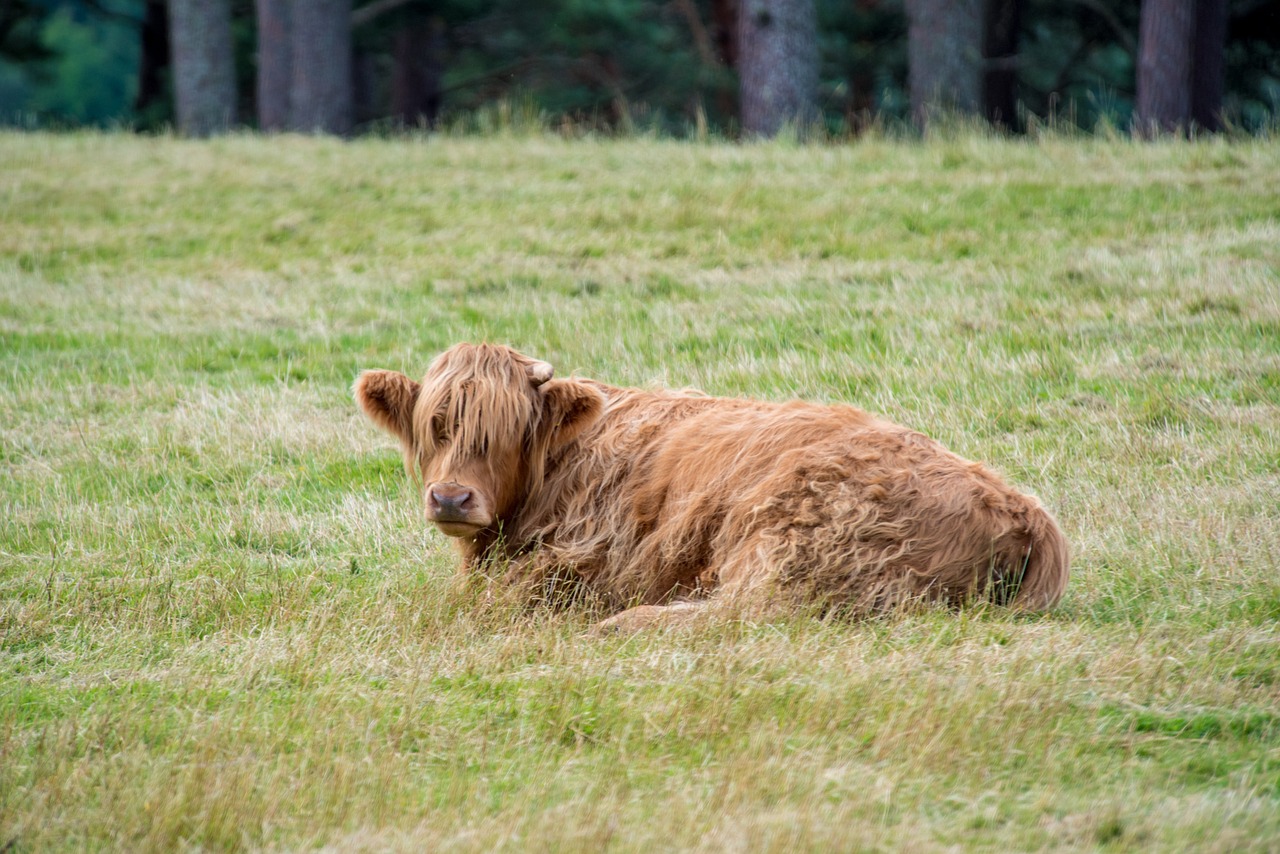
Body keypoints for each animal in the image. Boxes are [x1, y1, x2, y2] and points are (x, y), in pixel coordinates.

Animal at [355, 343, 1064, 632]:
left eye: (505, 431)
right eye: (435, 425)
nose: (451, 498)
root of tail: (1021, 505)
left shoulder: (570, 565)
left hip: (792, 540)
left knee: (752, 613)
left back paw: (623, 625)